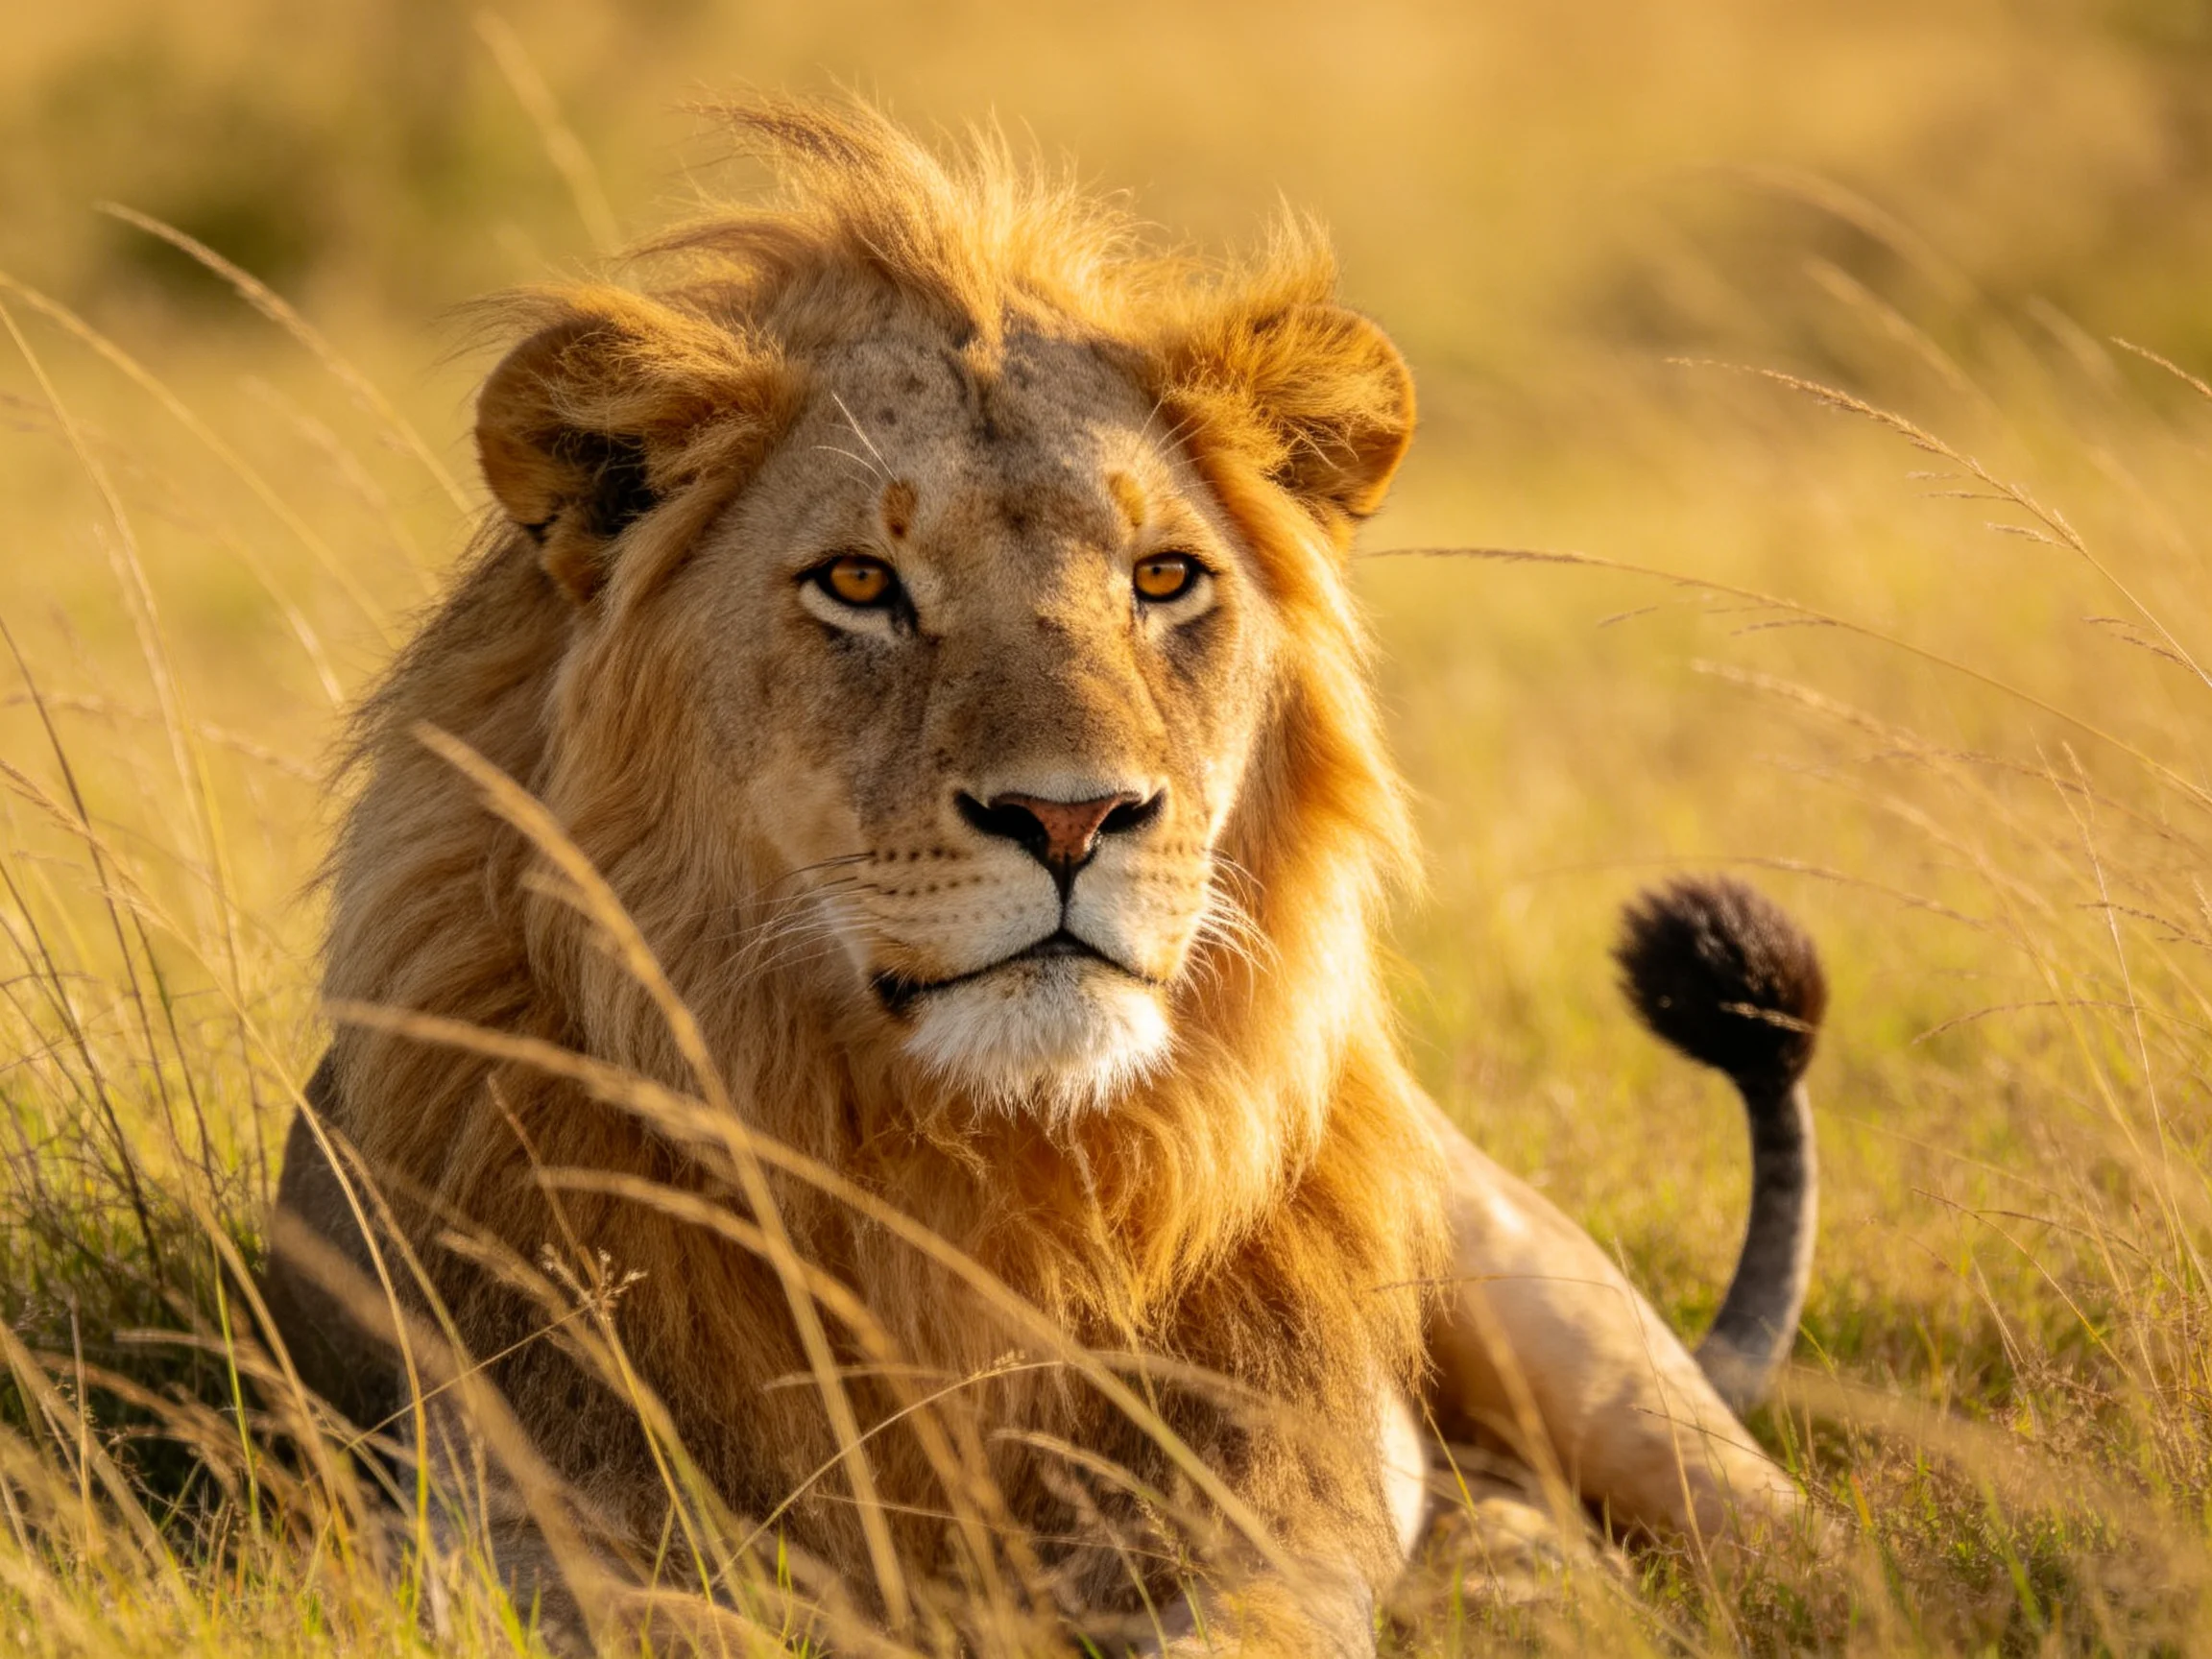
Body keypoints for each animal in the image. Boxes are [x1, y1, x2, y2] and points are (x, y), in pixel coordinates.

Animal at [262, 100, 1826, 1655]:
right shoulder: (516, 1521)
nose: (1073, 819)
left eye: (1164, 578)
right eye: (858, 584)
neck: (978, 1178)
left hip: (1565, 1325)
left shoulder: (1270, 1519)